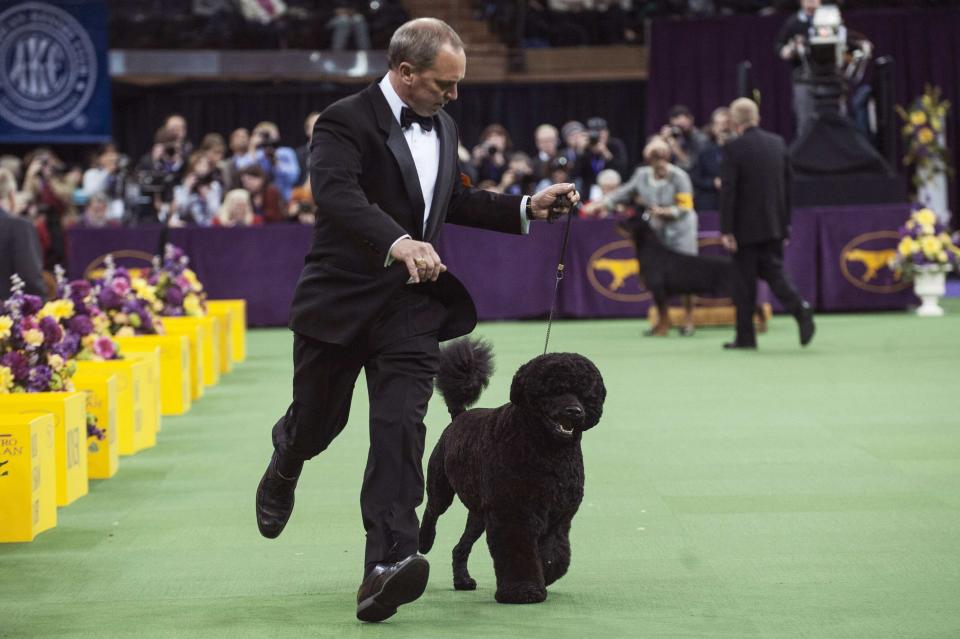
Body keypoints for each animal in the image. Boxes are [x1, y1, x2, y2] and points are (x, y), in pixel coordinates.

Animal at [416, 340, 604, 604]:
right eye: (553, 390)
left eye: (585, 393)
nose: (574, 411)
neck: (546, 449)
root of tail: (459, 416)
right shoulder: (513, 512)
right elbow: (518, 553)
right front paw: (523, 591)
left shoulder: (559, 516)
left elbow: (555, 554)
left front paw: (545, 574)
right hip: (441, 487)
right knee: (431, 511)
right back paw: (424, 541)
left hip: (479, 515)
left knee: (460, 547)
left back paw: (463, 581)